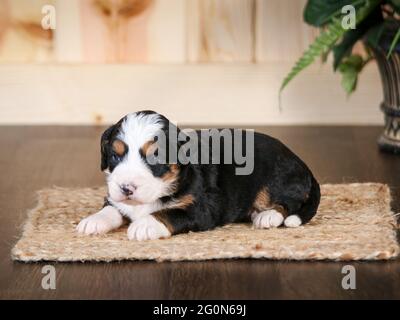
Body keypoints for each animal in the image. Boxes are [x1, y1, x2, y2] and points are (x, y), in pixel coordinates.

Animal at [76, 111, 320, 241]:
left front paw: (145, 224)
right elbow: (112, 208)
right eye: (115, 156)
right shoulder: (115, 198)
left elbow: (170, 213)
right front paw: (93, 221)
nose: (126, 188)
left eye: (155, 157)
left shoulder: (203, 208)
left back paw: (267, 216)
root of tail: (301, 162)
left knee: (288, 203)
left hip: (276, 180)